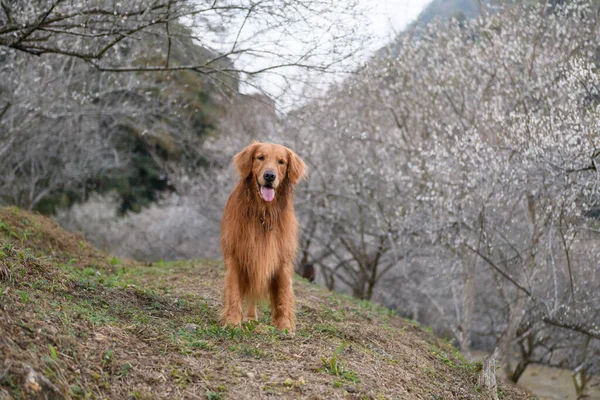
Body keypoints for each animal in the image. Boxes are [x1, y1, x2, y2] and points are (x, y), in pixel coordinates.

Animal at [219, 141, 304, 332]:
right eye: (260, 157)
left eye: (281, 162)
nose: (270, 175)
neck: (264, 212)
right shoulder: (236, 255)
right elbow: (234, 291)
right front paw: (233, 321)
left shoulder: (281, 258)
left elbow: (283, 293)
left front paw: (284, 325)